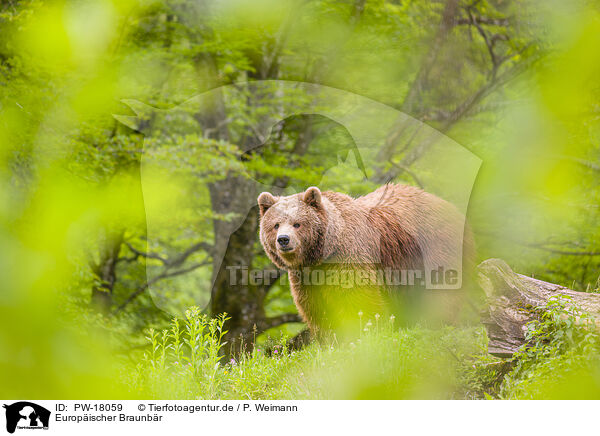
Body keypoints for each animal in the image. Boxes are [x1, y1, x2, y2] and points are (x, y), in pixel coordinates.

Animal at [258, 183, 474, 338]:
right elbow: (316, 309)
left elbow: (359, 298)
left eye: (297, 224)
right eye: (275, 224)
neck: (323, 255)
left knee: (442, 290)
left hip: (436, 246)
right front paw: (329, 338)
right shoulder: (305, 278)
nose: (283, 240)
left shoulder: (350, 256)